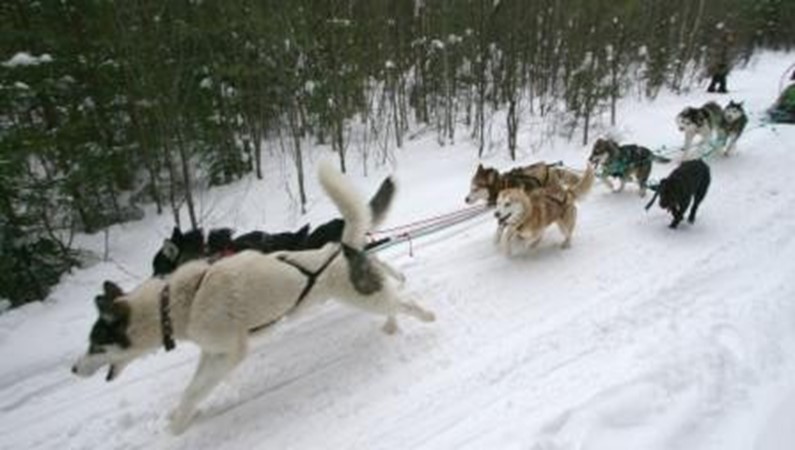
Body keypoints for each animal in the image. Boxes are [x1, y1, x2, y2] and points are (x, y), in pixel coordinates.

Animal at [70, 160, 436, 434]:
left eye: (95, 344)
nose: (73, 369)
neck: (174, 305)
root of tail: (341, 247)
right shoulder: (211, 352)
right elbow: (193, 387)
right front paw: (181, 417)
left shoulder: (230, 352)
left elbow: (195, 390)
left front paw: (178, 424)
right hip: (367, 294)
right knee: (390, 292)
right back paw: (392, 320)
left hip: (364, 297)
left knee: (403, 302)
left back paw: (425, 315)